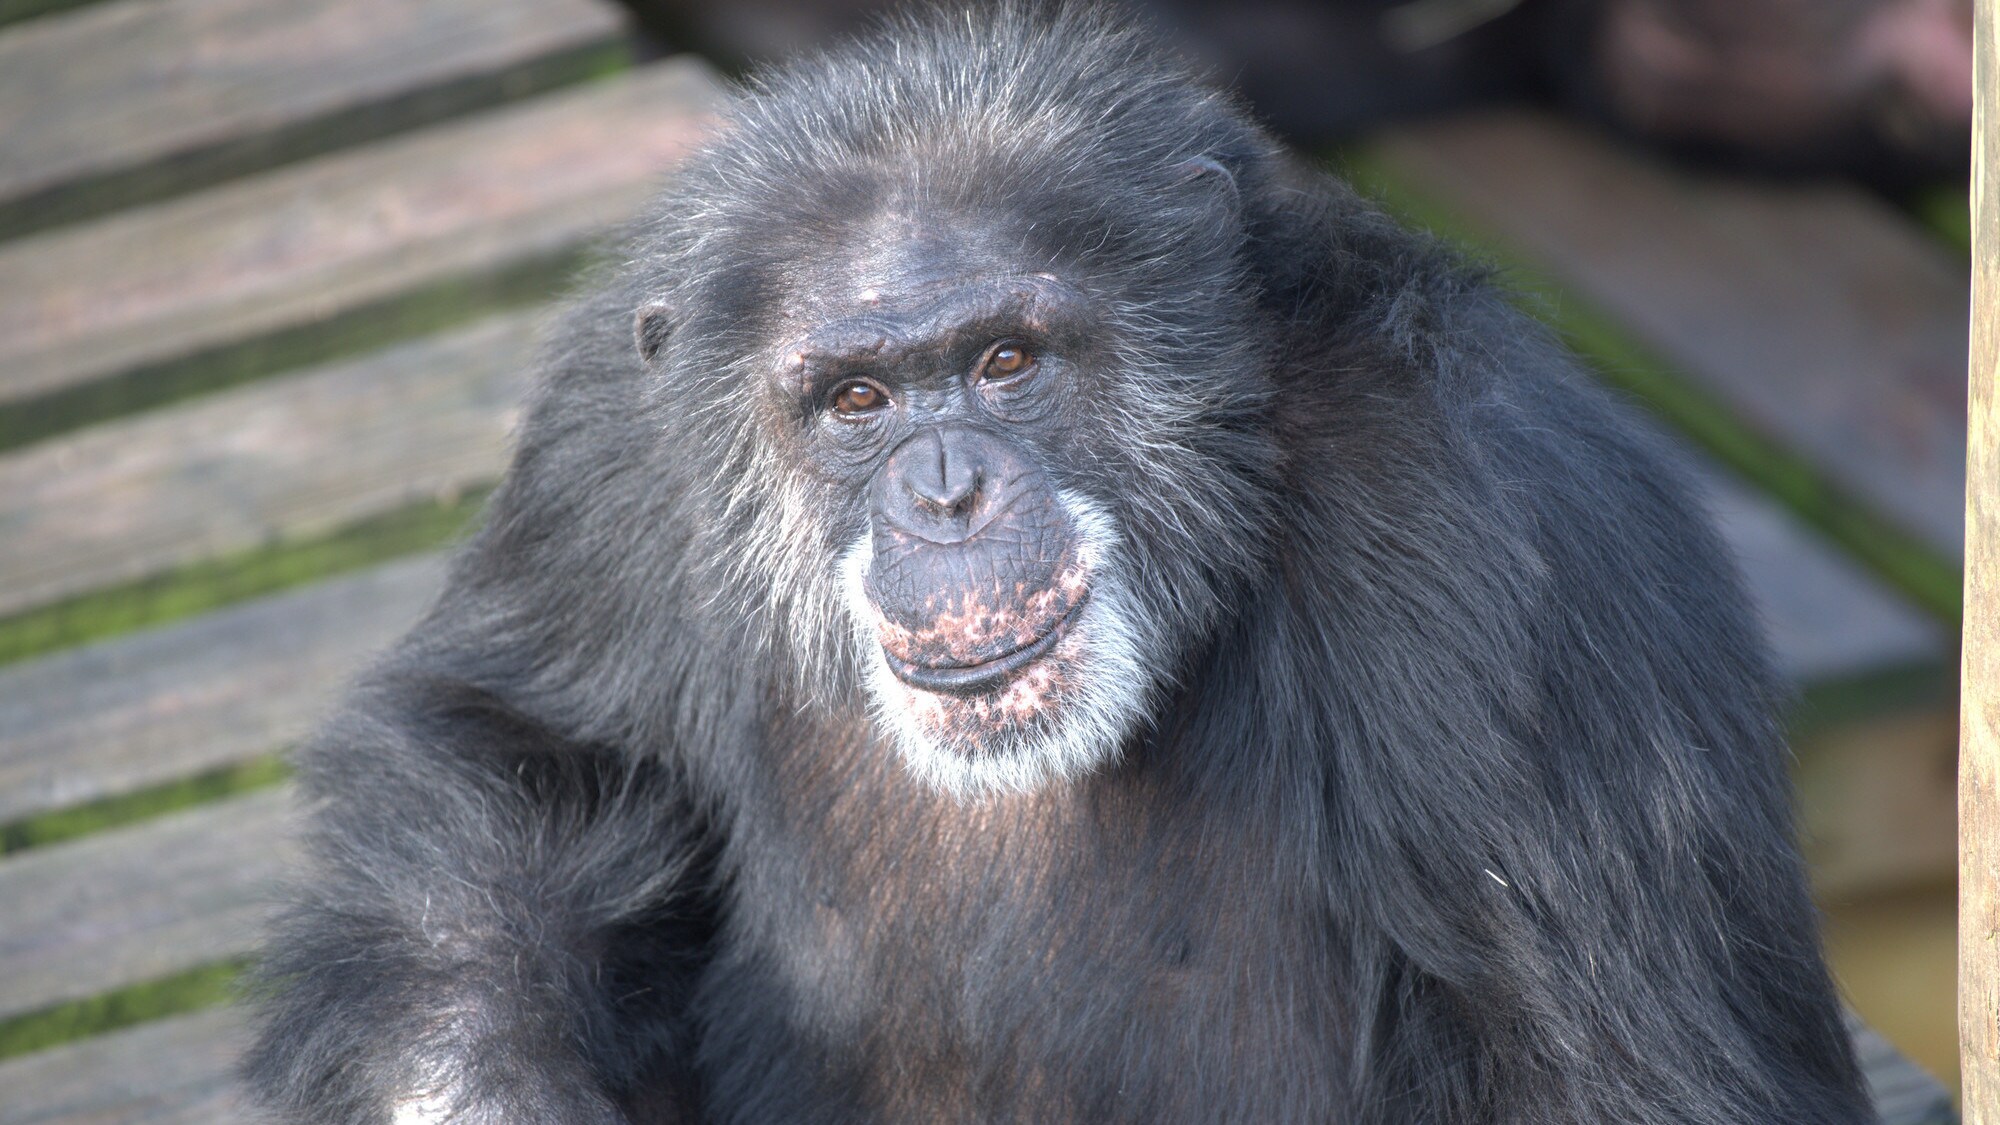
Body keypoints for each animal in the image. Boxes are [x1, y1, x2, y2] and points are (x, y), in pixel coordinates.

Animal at [246, 4, 1872, 1112]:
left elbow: (1610, 1072)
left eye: (1007, 359)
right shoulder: (606, 432)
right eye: (857, 399)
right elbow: (511, 750)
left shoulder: (1506, 538)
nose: (945, 491)